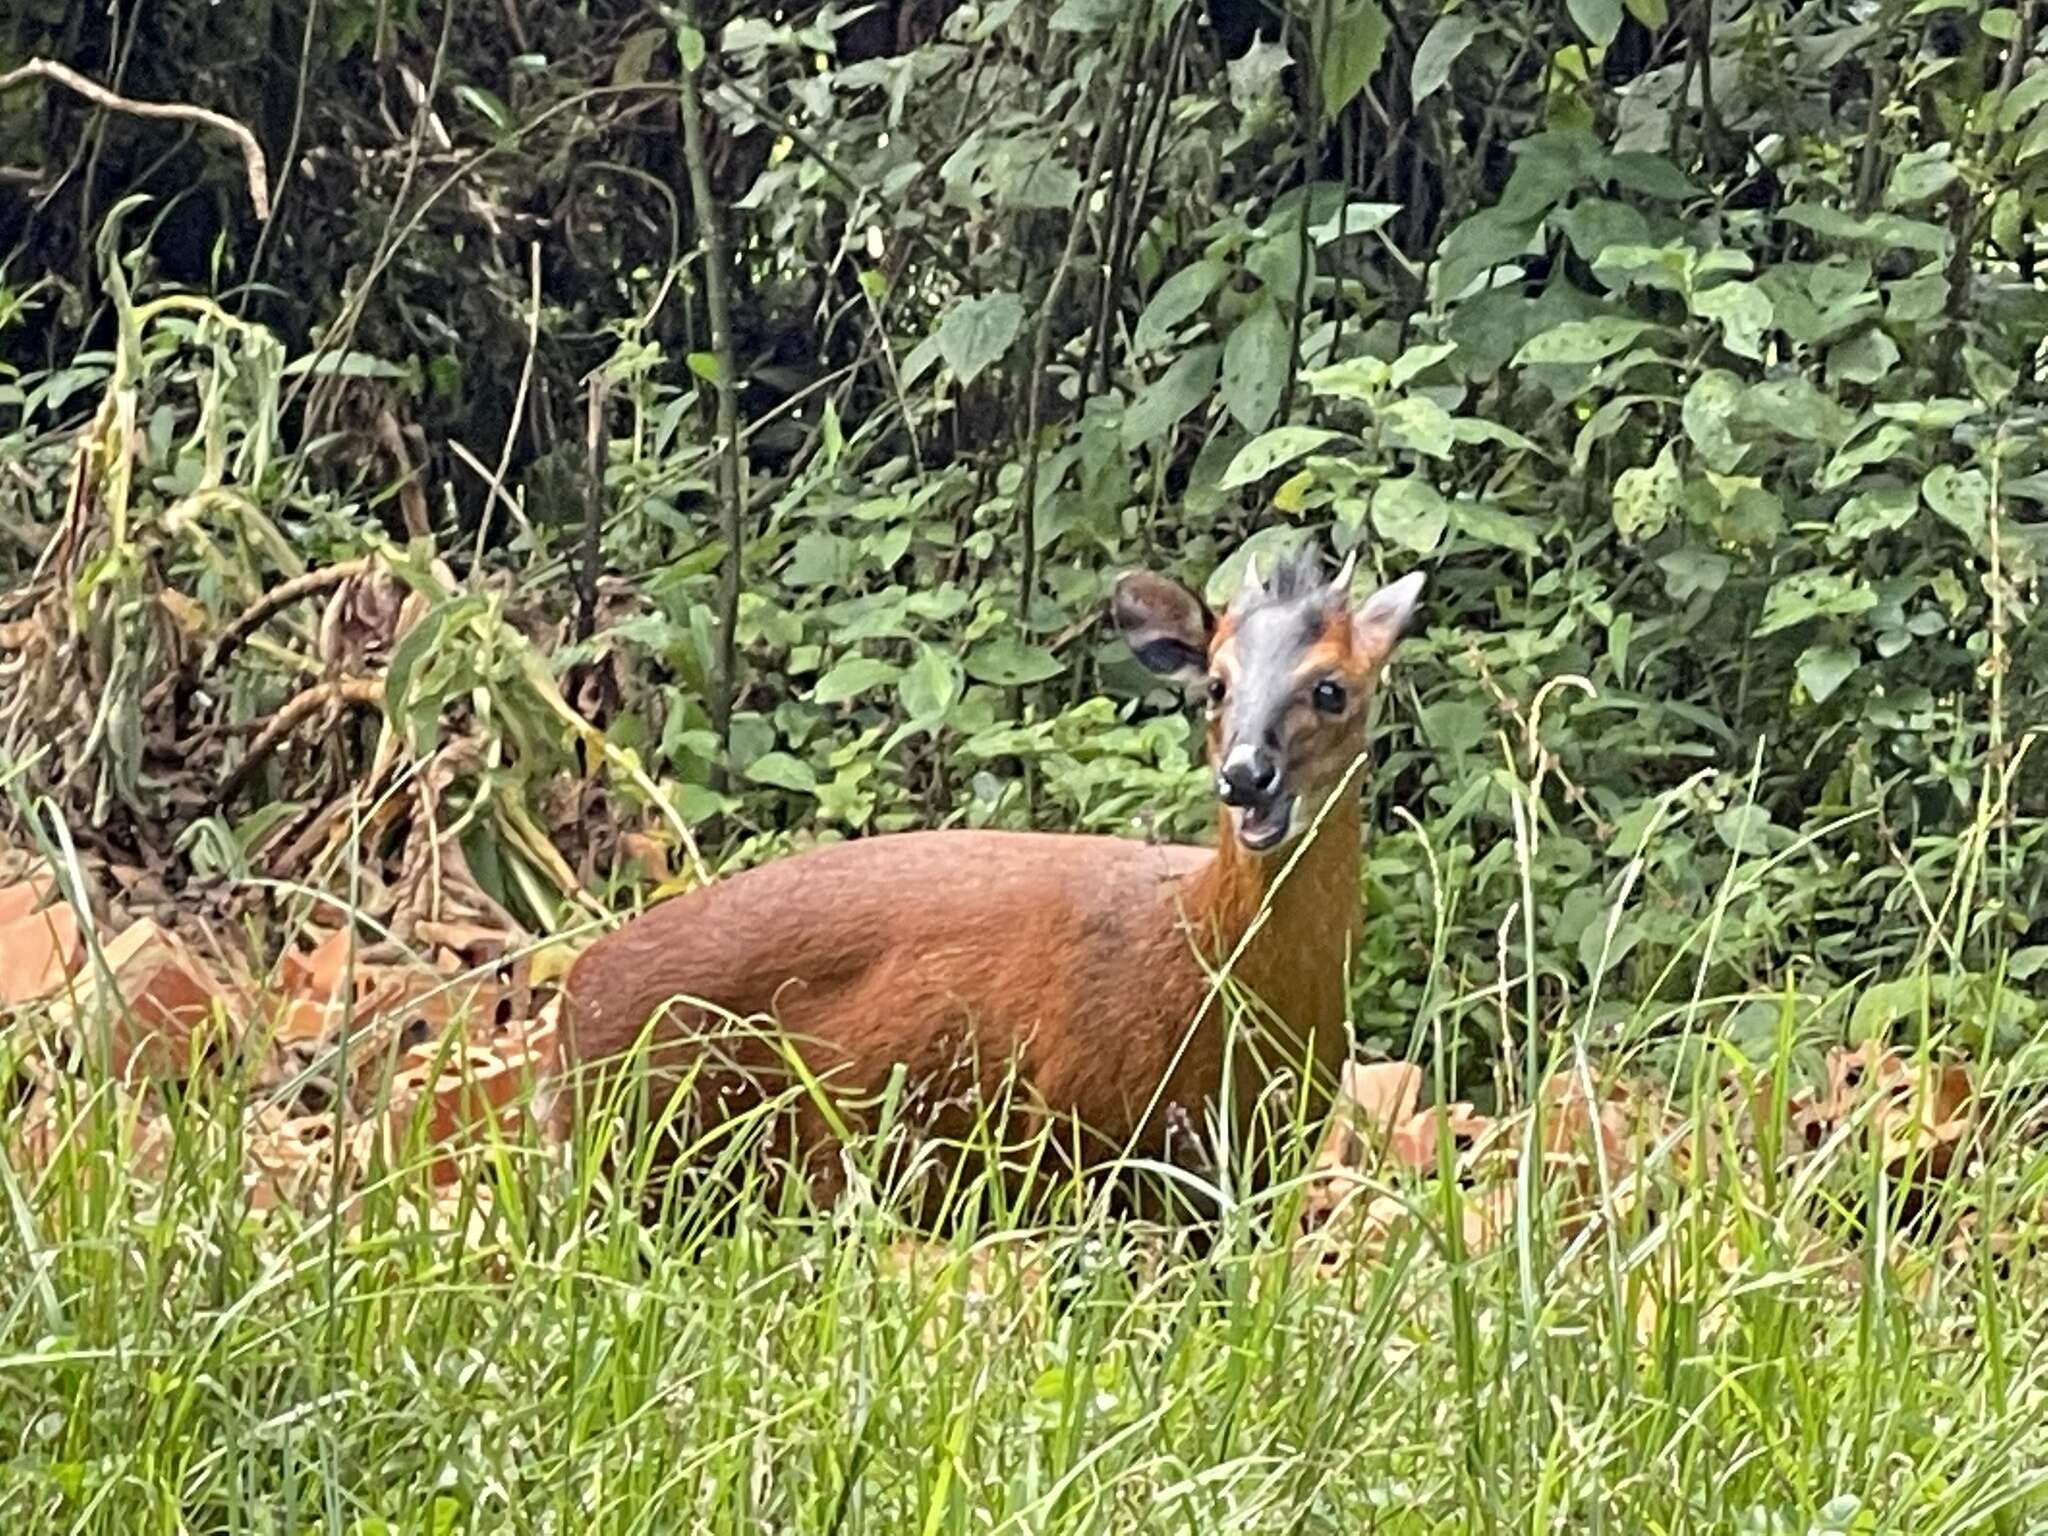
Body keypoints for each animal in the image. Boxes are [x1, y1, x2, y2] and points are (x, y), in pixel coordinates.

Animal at [561, 548, 1425, 1212]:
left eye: (1331, 688)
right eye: (1216, 685)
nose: (1246, 777)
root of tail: (567, 1014)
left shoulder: (1250, 1173)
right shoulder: (1078, 1141)